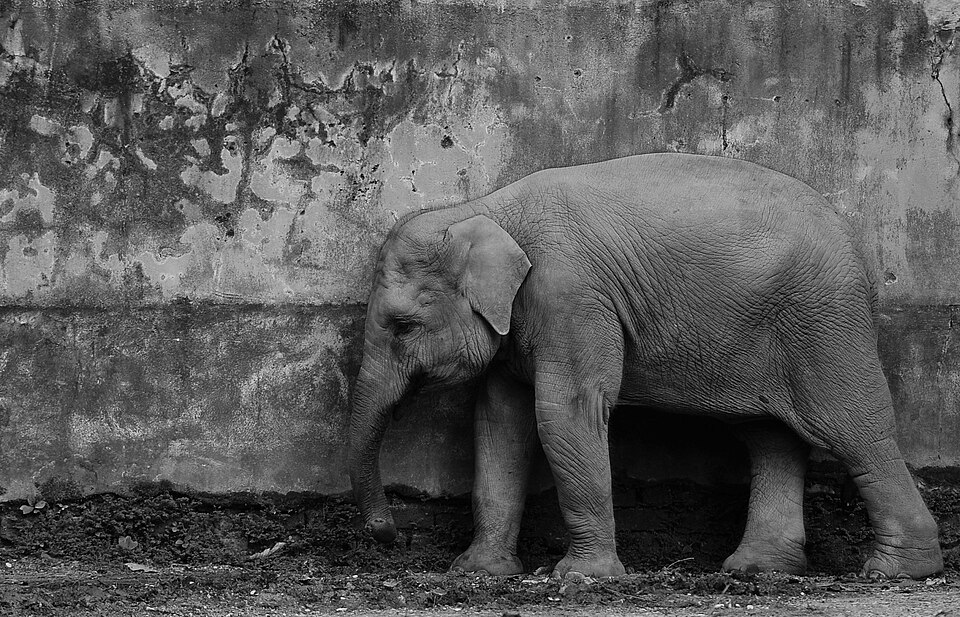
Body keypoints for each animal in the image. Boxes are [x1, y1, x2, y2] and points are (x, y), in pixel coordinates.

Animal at [347, 153, 943, 580]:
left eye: (402, 326)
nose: (389, 536)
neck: (483, 209)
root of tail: (855, 243)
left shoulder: (572, 296)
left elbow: (564, 413)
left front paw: (583, 579)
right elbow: (500, 422)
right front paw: (477, 573)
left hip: (825, 322)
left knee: (851, 429)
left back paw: (896, 571)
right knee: (769, 436)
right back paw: (759, 570)